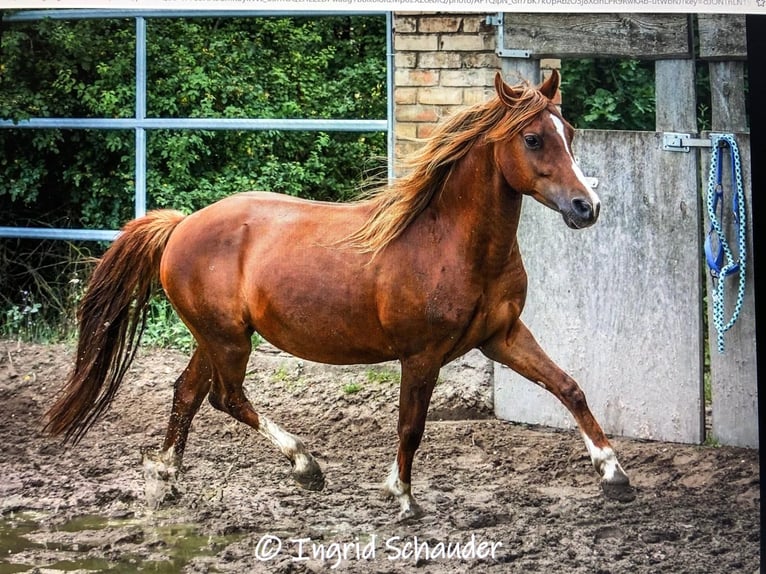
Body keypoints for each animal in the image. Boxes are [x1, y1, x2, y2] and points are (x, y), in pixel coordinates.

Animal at [46, 73, 636, 520]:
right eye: (533, 139)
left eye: (569, 131)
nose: (587, 207)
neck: (447, 240)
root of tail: (181, 225)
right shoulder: (422, 355)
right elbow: (411, 426)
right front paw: (403, 498)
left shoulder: (503, 336)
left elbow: (569, 387)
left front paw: (614, 474)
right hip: (229, 339)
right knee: (224, 397)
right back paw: (306, 466)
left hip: (213, 337)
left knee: (187, 393)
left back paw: (165, 479)